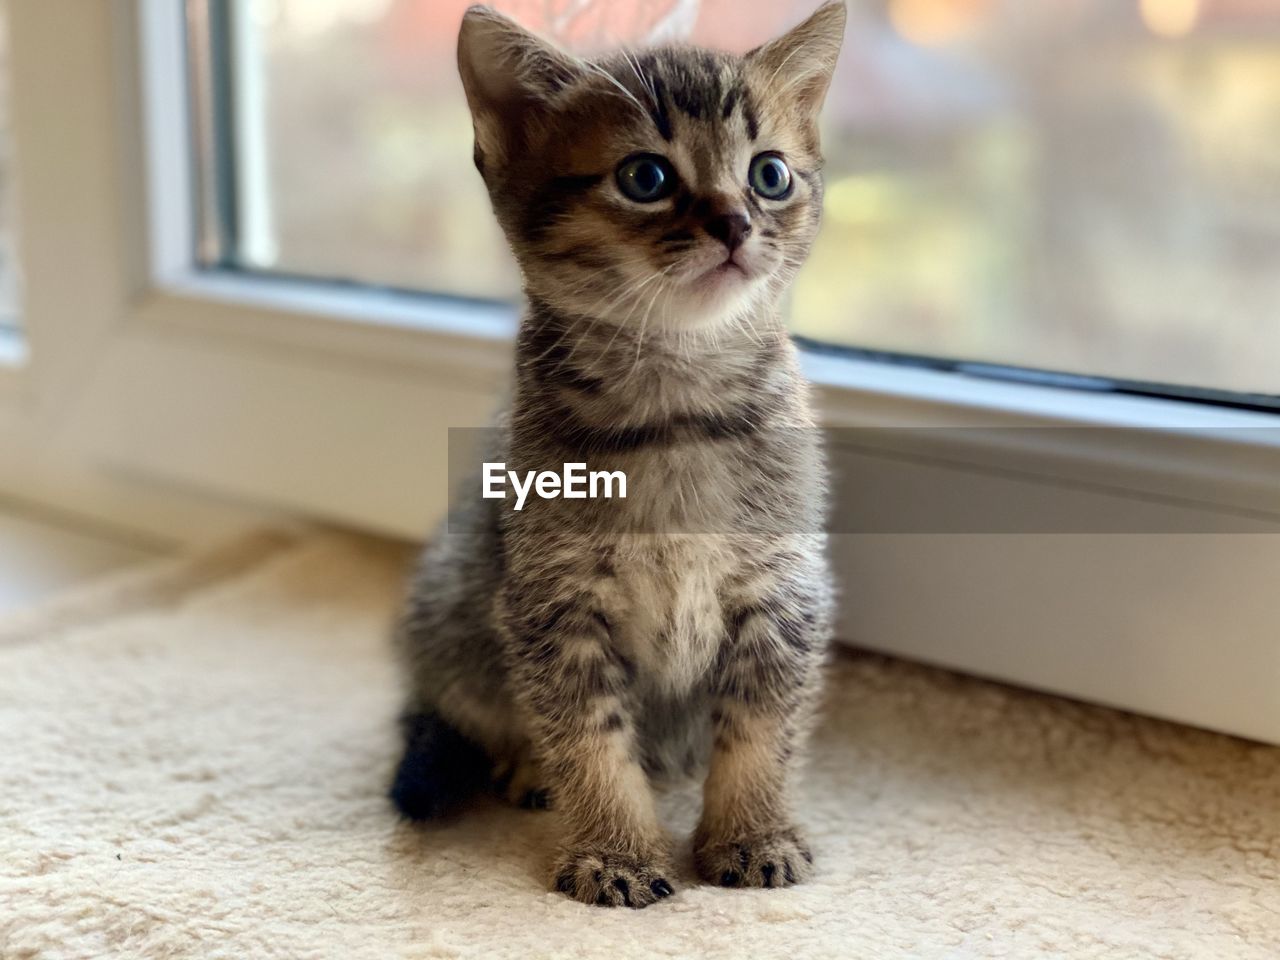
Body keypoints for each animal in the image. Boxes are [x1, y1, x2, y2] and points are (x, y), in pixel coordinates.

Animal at [394, 1, 844, 911]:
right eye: (645, 178)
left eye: (770, 174)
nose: (736, 223)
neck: (677, 413)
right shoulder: (553, 603)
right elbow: (588, 738)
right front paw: (616, 850)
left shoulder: (783, 591)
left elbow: (760, 729)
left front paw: (751, 832)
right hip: (455, 609)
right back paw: (529, 766)